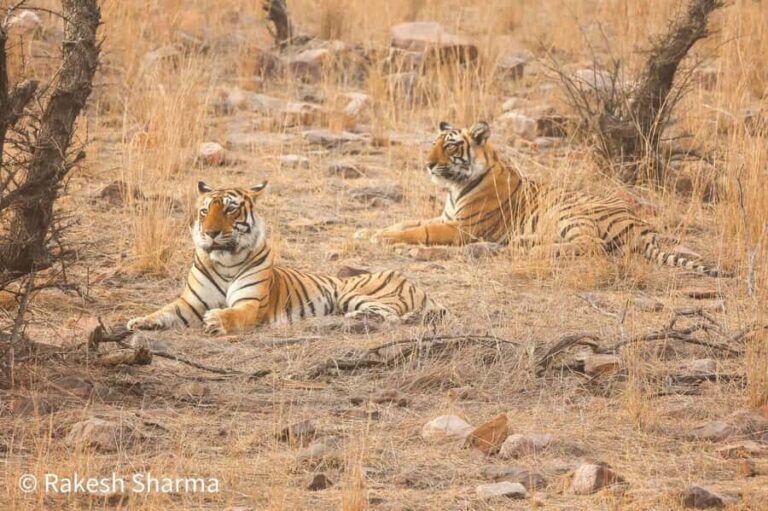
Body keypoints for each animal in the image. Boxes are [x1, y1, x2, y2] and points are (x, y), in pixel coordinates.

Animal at [127, 181, 445, 335]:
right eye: (205, 211)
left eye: (229, 209)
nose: (211, 233)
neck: (226, 261)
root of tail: (412, 282)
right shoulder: (189, 303)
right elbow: (164, 312)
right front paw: (138, 321)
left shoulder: (251, 304)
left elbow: (233, 314)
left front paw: (216, 319)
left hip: (358, 293)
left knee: (391, 314)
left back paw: (357, 318)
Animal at [357, 121, 730, 277]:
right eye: (434, 143)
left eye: (449, 146)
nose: (428, 164)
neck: (455, 185)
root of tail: (645, 228)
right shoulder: (447, 217)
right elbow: (408, 221)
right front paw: (368, 232)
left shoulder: (462, 228)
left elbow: (418, 231)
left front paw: (384, 239)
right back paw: (522, 242)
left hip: (569, 211)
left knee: (590, 246)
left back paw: (528, 249)